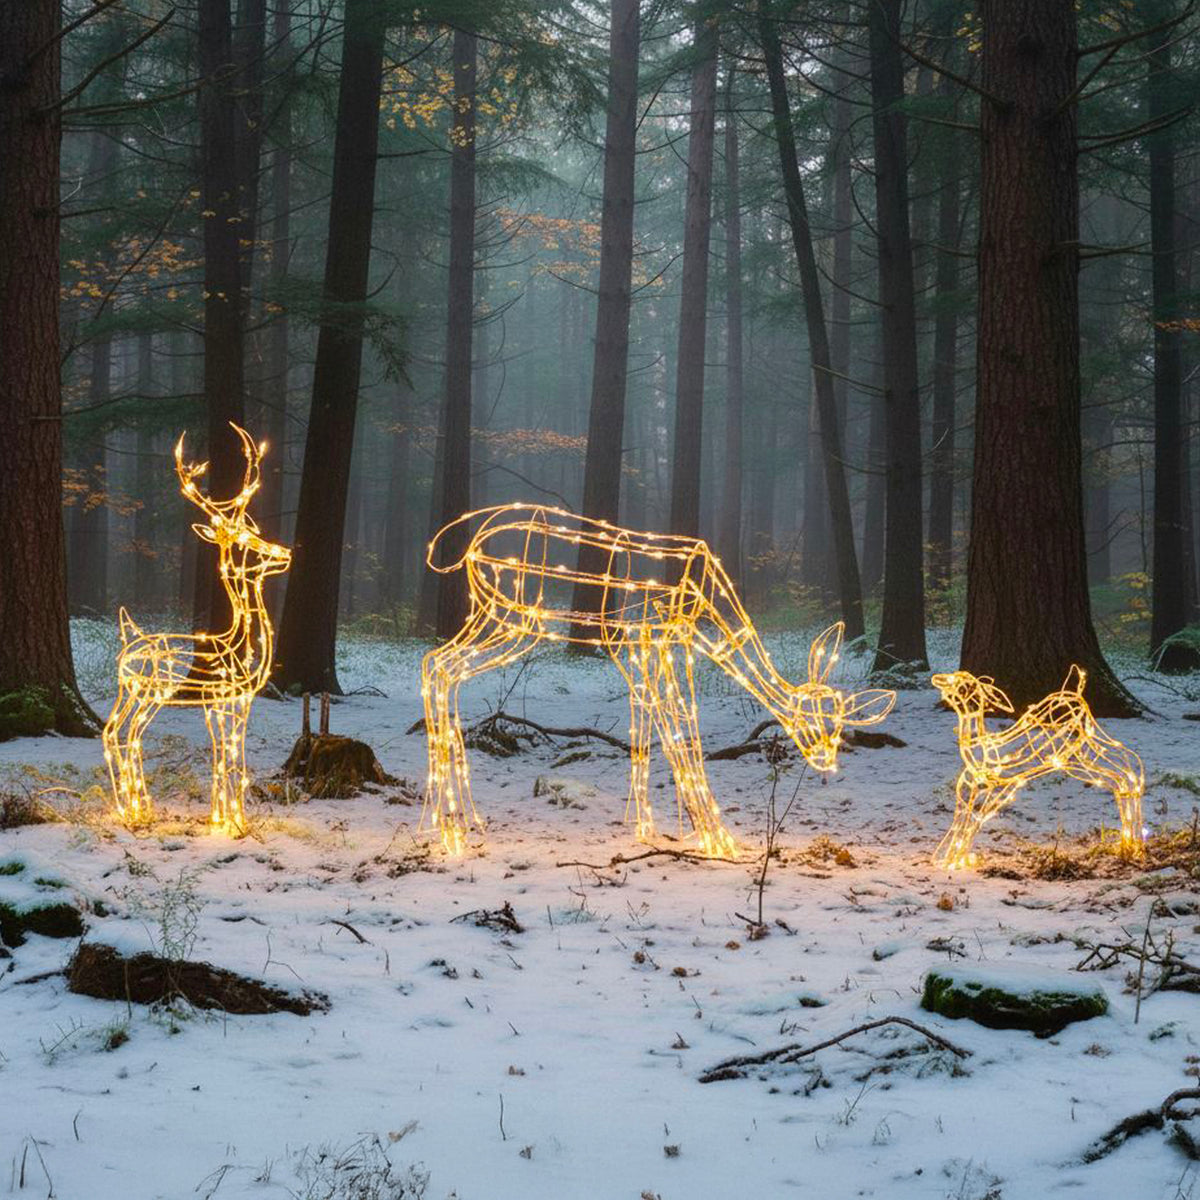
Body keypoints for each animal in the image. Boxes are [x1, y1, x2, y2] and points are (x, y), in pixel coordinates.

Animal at [102, 425, 291, 833]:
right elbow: (235, 757)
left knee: (113, 732)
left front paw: (220, 819)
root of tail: (127, 642)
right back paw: (138, 811)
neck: (239, 647)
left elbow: (220, 754)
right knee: (127, 736)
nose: (286, 553)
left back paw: (132, 810)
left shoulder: (213, 702)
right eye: (244, 540)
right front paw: (239, 824)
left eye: (255, 533)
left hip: (128, 690)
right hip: (150, 692)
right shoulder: (236, 697)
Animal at [421, 503, 896, 857]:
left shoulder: (647, 640)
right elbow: (679, 728)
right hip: (513, 616)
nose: (827, 762)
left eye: (840, 726)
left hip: (491, 613)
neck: (708, 600)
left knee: (436, 667)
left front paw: (646, 829)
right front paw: (718, 840)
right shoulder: (653, 634)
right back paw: (450, 832)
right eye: (810, 720)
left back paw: (457, 822)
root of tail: (471, 539)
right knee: (439, 669)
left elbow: (646, 726)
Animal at [930, 667, 1144, 870]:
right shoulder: (970, 789)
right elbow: (960, 822)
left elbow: (972, 823)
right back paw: (1130, 846)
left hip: (1085, 747)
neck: (979, 748)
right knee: (1123, 775)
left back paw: (1135, 847)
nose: (937, 678)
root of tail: (1075, 693)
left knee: (1126, 770)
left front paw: (955, 861)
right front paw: (944, 861)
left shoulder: (990, 789)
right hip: (1079, 757)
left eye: (961, 682)